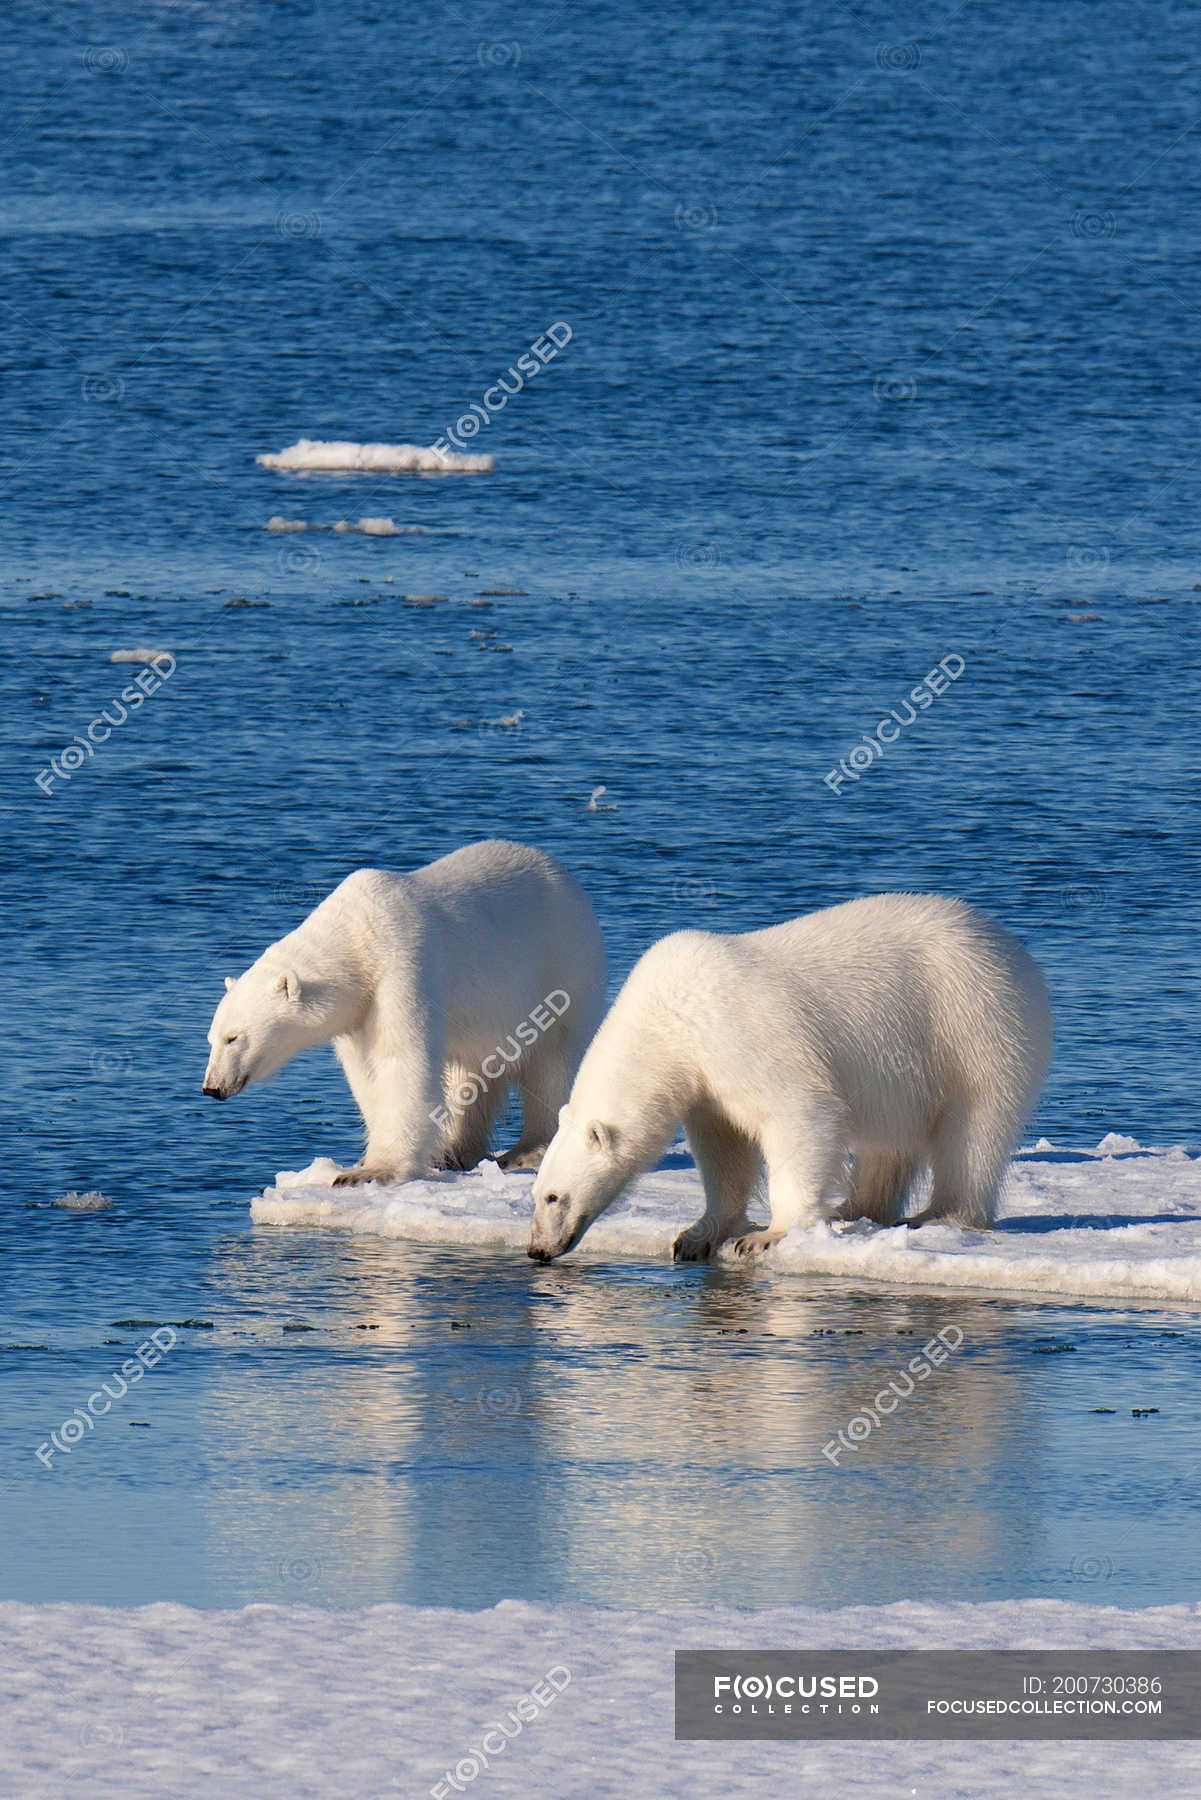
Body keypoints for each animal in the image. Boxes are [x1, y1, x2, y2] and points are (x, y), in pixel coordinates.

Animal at [203, 838, 612, 1188]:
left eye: (233, 1037)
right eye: (212, 1038)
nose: (212, 1088)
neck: (356, 937)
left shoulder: (402, 966)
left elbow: (401, 1058)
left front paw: (372, 1172)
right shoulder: (359, 1010)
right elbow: (367, 1072)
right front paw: (368, 1160)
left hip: (562, 966)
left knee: (553, 1060)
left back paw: (529, 1149)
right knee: (471, 1070)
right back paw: (453, 1151)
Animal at [529, 892, 1051, 1260]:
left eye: (555, 1196)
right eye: (536, 1193)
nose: (536, 1250)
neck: (671, 1019)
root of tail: (1015, 951)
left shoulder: (743, 1036)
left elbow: (799, 1113)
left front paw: (766, 1236)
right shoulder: (705, 1086)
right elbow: (724, 1149)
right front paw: (696, 1235)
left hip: (973, 1027)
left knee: (973, 1133)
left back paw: (942, 1214)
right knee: (888, 1143)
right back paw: (855, 1208)